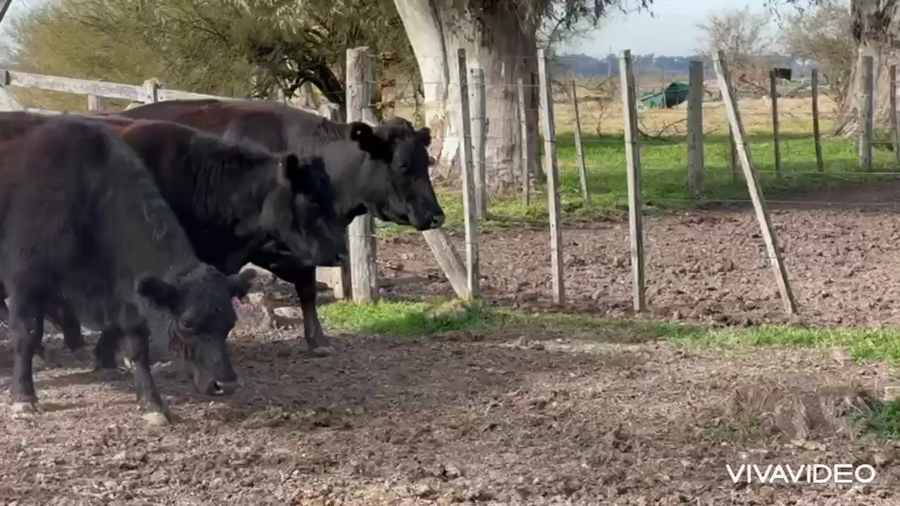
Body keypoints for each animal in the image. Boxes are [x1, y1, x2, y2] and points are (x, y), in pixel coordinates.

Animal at [0, 116, 257, 424]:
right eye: (186, 322)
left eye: (231, 322)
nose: (226, 384)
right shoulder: (26, 283)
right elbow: (26, 336)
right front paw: (24, 397)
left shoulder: (130, 300)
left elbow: (138, 349)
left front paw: (152, 403)